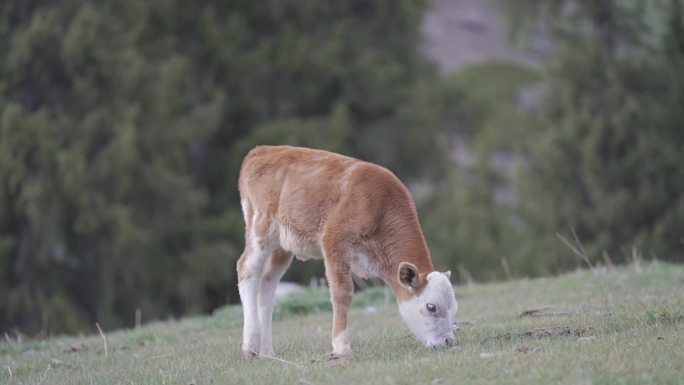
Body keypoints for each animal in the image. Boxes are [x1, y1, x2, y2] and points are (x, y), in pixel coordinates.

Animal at [238, 145, 456, 356]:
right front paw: (341, 346)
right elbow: (342, 292)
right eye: (431, 307)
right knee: (246, 270)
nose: (448, 342)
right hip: (261, 228)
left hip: (283, 245)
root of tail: (262, 150)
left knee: (268, 284)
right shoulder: (334, 240)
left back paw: (267, 351)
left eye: (454, 309)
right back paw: (249, 347)